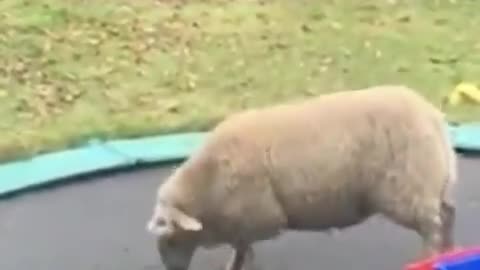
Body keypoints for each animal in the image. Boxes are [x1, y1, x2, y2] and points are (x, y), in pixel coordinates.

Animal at [145, 85, 458, 270]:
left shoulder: (255, 217)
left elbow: (242, 247)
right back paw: (450, 251)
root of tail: (432, 117)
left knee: (432, 226)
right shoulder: (242, 221)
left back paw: (429, 258)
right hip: (433, 183)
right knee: (448, 214)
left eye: (169, 238)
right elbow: (241, 246)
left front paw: (238, 265)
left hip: (408, 188)